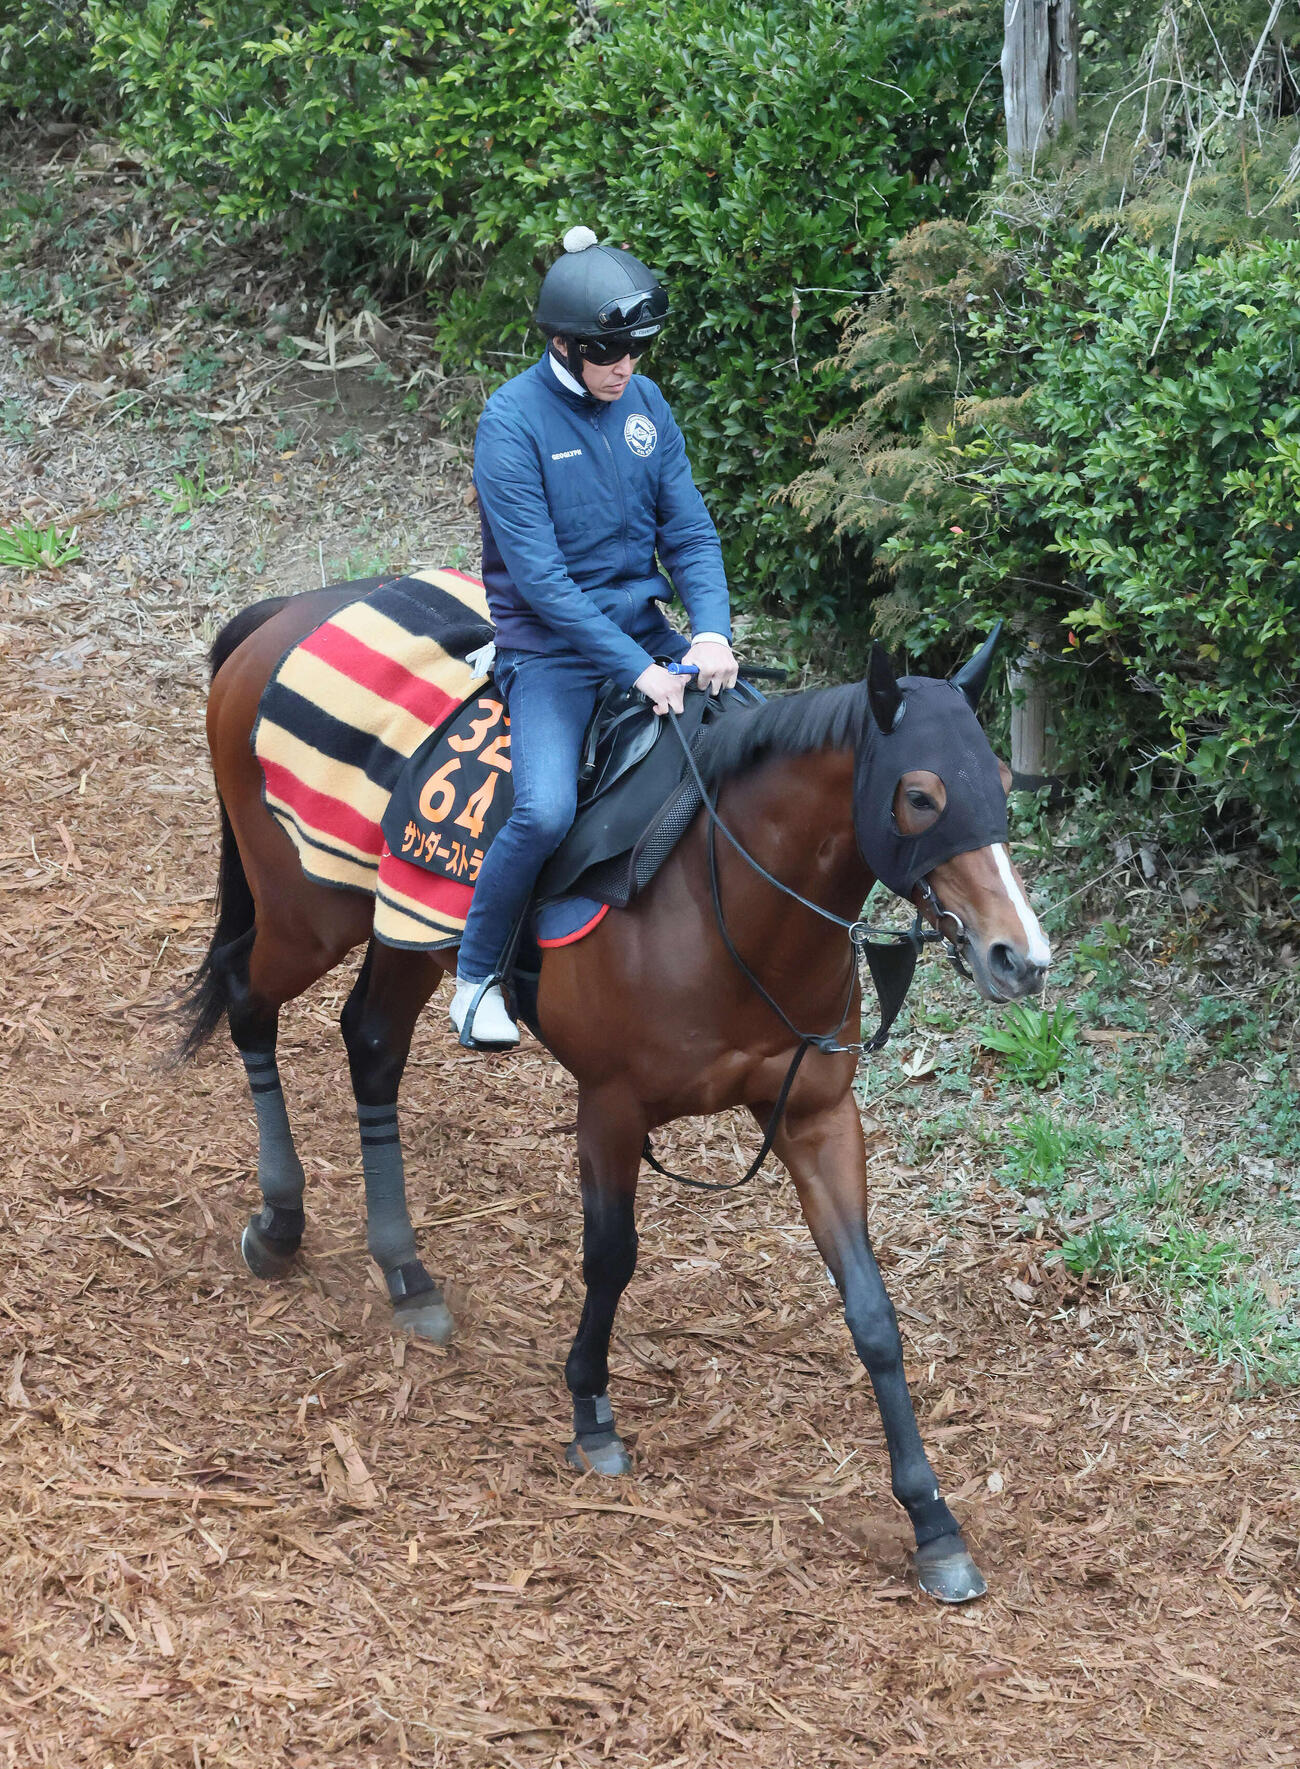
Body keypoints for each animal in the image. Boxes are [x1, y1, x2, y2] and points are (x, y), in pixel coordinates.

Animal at [183, 579, 1051, 1603]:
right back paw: (279, 1221)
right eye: (920, 794)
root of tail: (285, 612)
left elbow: (873, 1310)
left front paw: (932, 1519)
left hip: (404, 926)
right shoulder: (610, 1104)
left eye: (999, 776)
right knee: (247, 1000)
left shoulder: (815, 1115)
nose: (1020, 956)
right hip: (307, 913)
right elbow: (611, 1257)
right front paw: (591, 1409)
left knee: (372, 1046)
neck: (724, 902)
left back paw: (405, 1271)